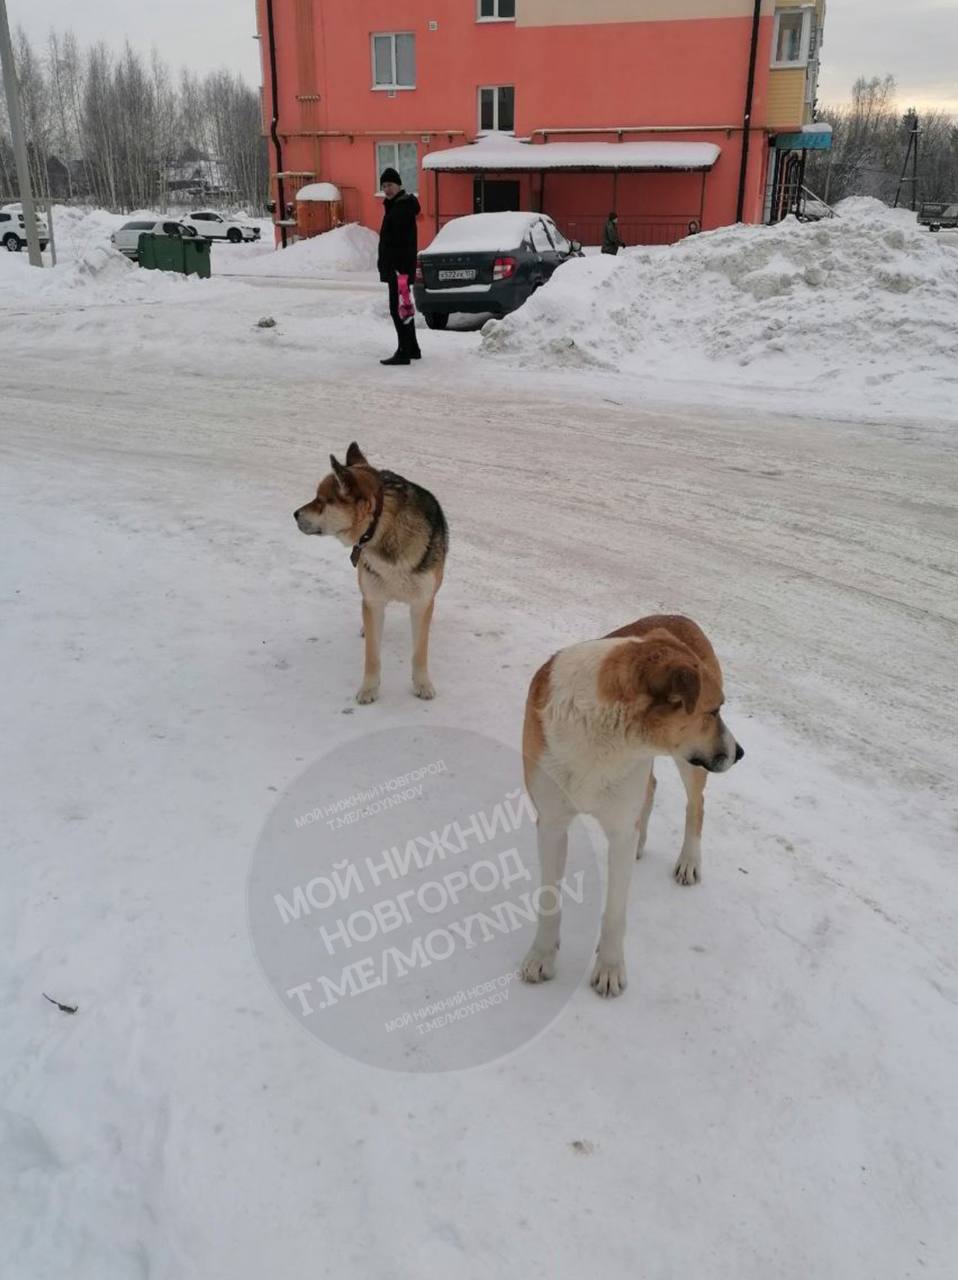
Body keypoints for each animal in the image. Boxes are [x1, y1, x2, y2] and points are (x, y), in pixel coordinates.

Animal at [293, 437, 448, 701]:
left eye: (321, 501)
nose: (294, 514)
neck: (382, 528)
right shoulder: (373, 601)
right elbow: (372, 656)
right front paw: (369, 688)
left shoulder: (421, 602)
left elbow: (419, 652)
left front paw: (422, 684)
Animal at [519, 616, 742, 998]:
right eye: (714, 711)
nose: (740, 753)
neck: (601, 735)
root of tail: (681, 616)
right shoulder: (551, 823)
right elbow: (549, 901)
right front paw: (542, 956)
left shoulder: (620, 831)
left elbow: (614, 912)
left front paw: (609, 968)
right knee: (651, 788)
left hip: (689, 765)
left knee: (695, 804)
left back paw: (689, 861)